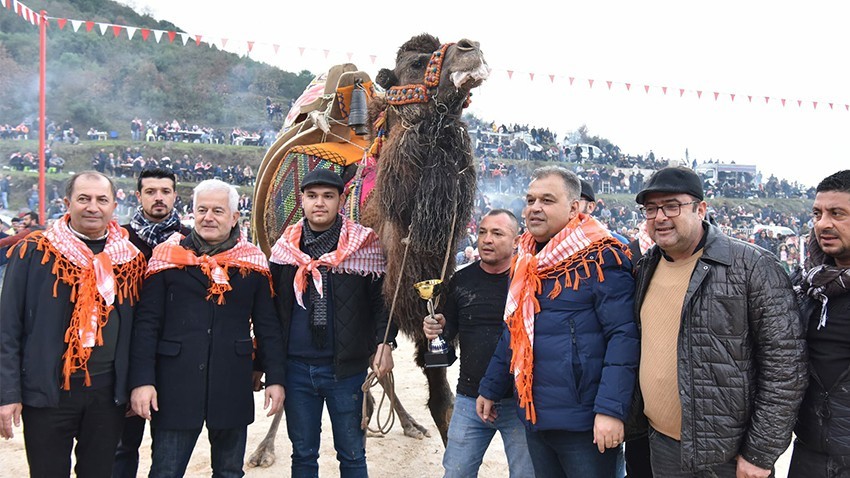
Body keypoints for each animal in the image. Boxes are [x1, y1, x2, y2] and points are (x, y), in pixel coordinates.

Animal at [248, 33, 486, 466]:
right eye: (416, 63)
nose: (469, 47)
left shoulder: (424, 290)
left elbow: (441, 397)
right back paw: (265, 447)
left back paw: (403, 420)